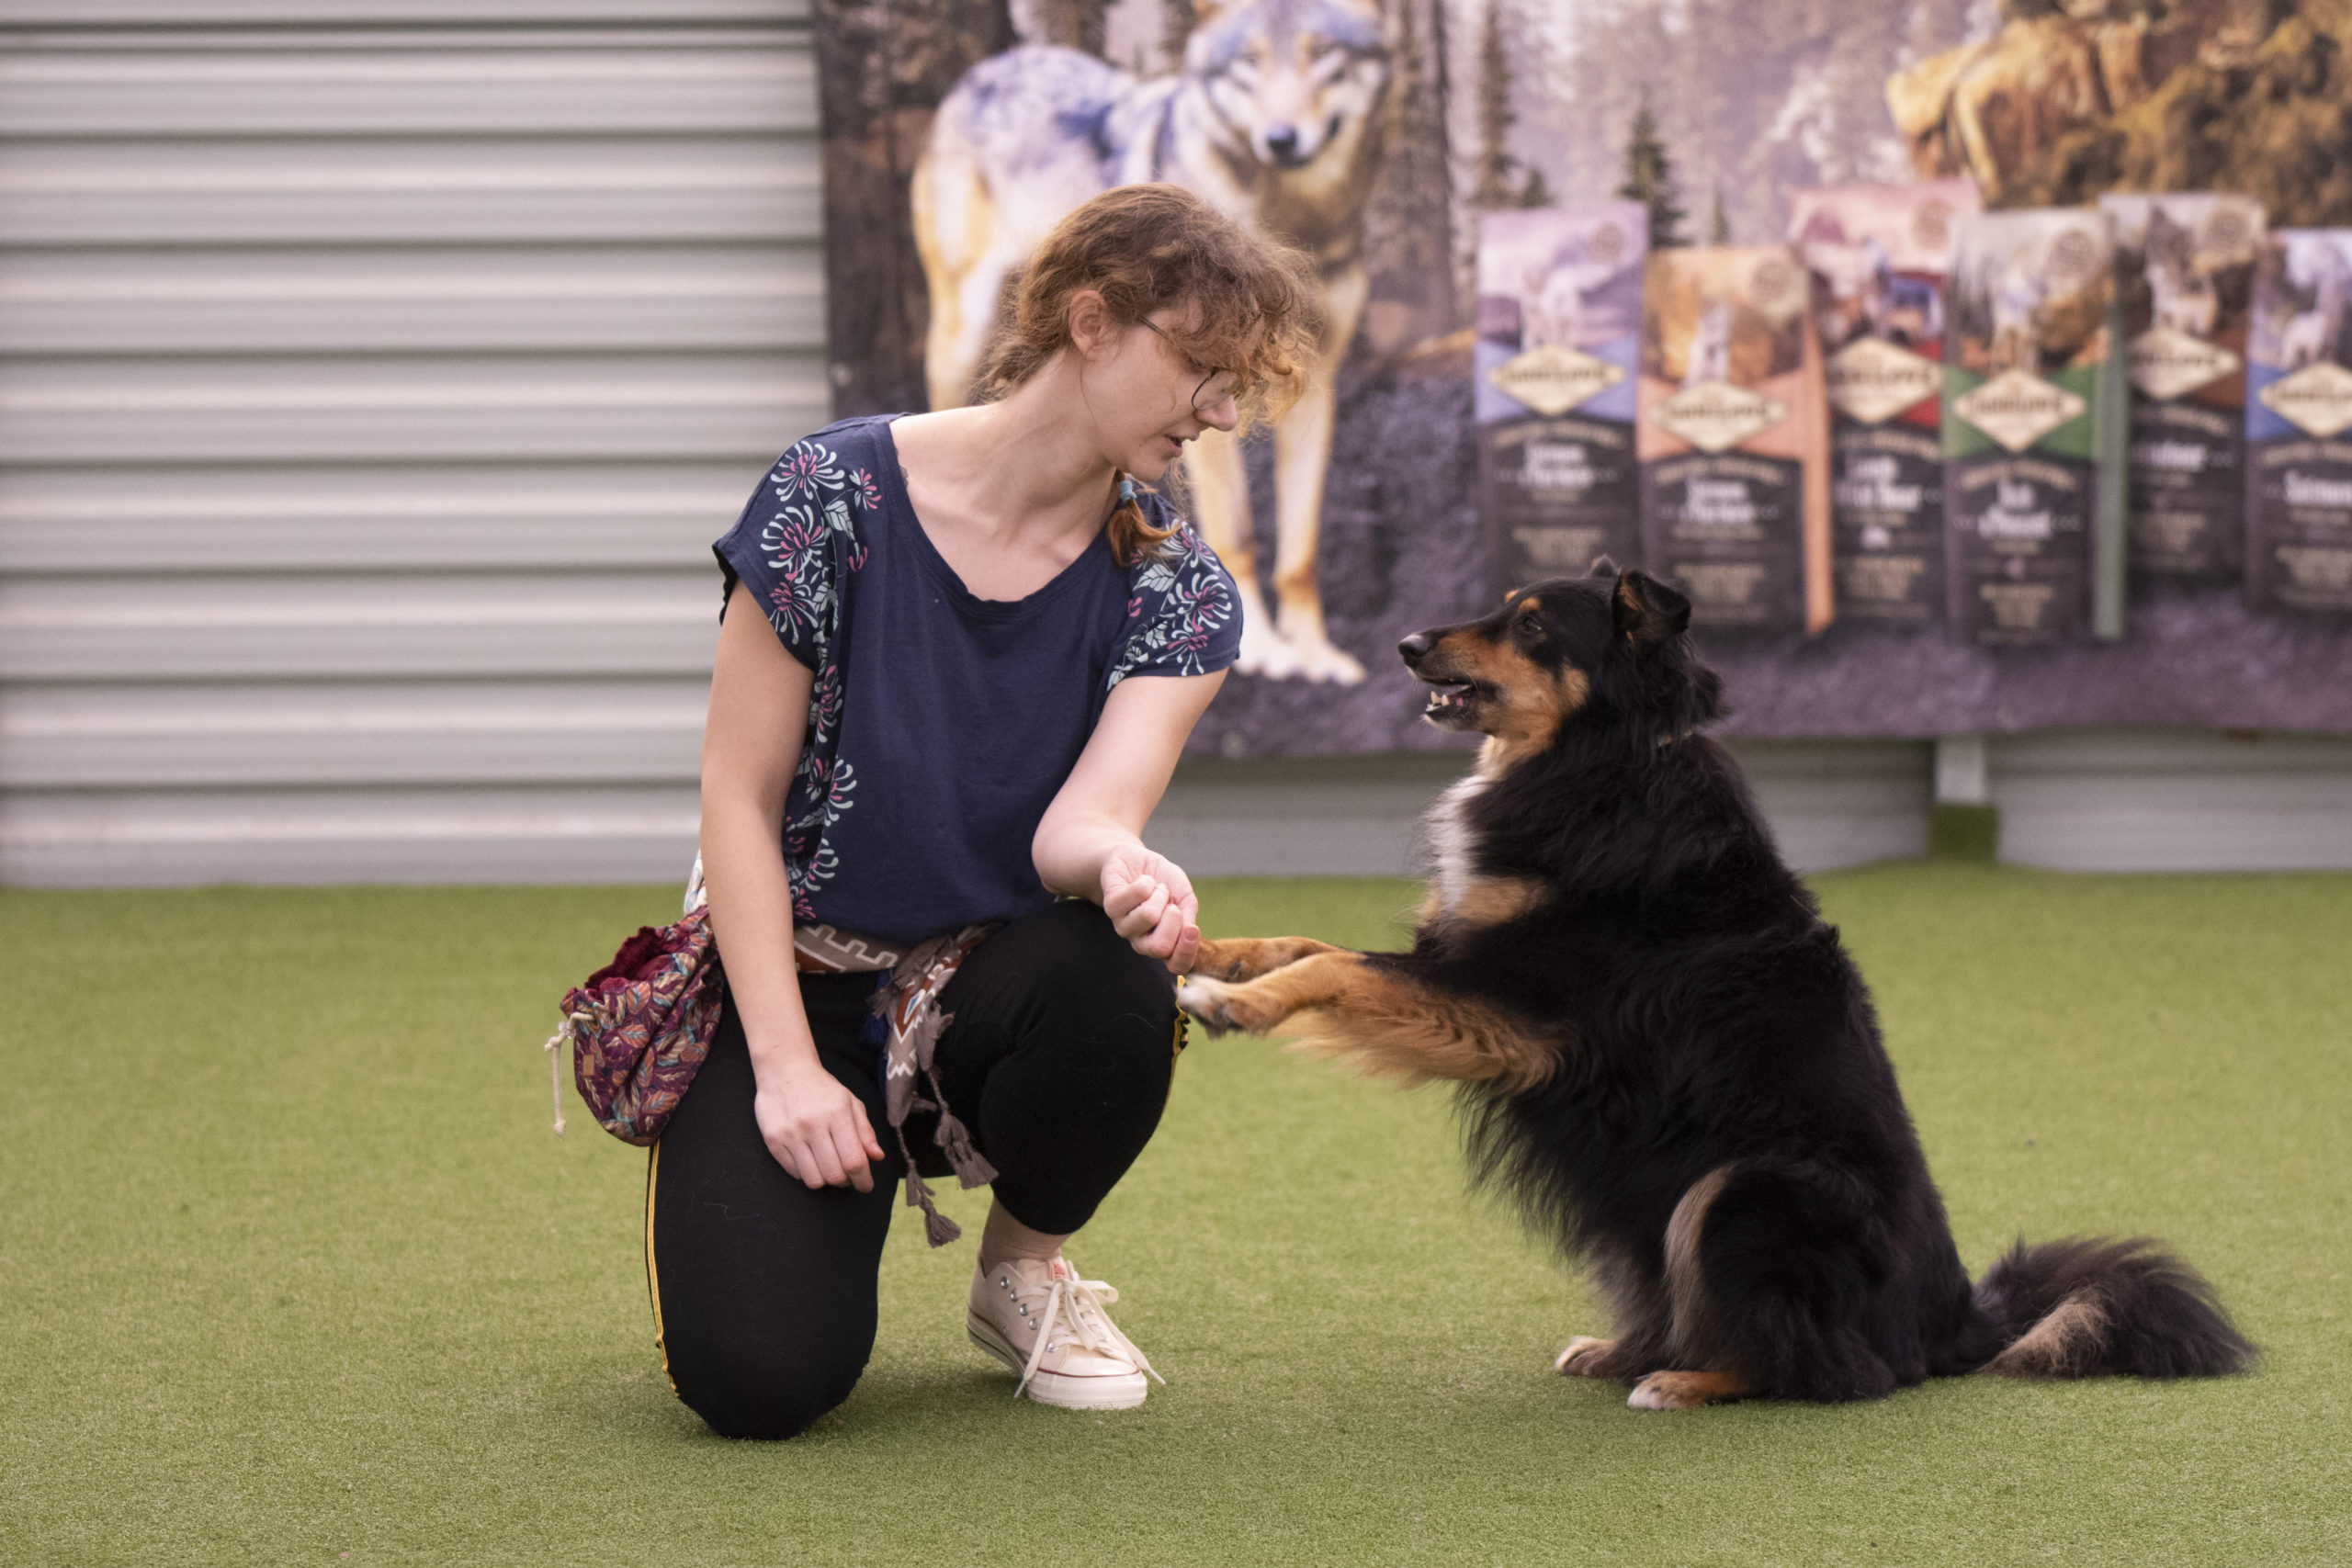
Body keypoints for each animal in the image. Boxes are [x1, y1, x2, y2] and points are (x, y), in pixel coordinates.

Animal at [1185, 564, 2248, 1410]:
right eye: (1500, 604)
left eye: (1531, 624)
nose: (1406, 646)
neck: (1604, 761)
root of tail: (1954, 1322)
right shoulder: (1470, 977)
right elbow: (1303, 940)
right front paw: (1206, 951)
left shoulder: (1517, 1010)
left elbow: (1336, 967)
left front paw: (1234, 1005)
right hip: (1643, 1208)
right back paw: (1626, 1349)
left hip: (1741, 1188)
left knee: (1837, 1371)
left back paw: (1686, 1379)